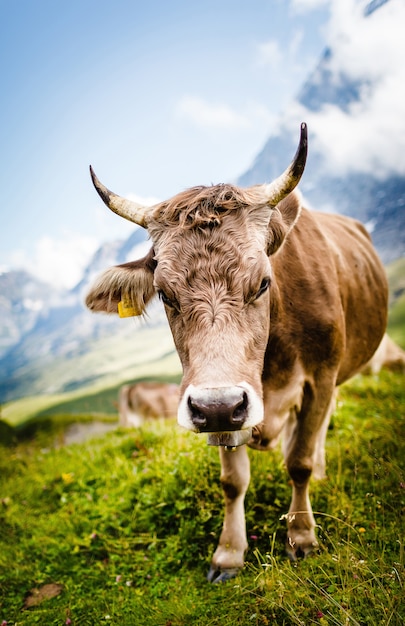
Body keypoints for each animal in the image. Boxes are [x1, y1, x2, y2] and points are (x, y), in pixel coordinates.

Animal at [86, 122, 388, 580]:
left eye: (263, 282)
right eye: (164, 294)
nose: (217, 406)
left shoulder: (318, 376)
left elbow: (298, 462)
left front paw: (302, 536)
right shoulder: (219, 401)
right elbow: (233, 482)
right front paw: (229, 552)